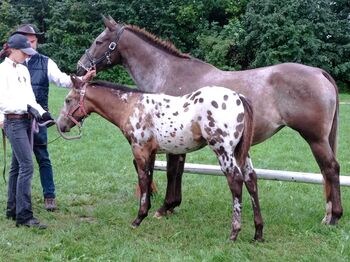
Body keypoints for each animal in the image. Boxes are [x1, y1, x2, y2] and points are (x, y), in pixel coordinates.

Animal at [56, 75, 262, 242]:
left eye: (68, 100)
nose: (60, 125)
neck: (130, 106)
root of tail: (239, 97)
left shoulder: (140, 150)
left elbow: (143, 180)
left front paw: (138, 219)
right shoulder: (152, 152)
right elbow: (150, 179)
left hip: (223, 150)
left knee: (236, 181)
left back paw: (234, 233)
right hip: (241, 152)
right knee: (251, 180)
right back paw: (258, 233)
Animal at [76, 15, 342, 223]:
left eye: (99, 41)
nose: (79, 68)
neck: (169, 73)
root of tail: (320, 72)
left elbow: (172, 172)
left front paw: (165, 207)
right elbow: (178, 172)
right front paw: (172, 205)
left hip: (315, 139)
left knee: (330, 169)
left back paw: (332, 217)